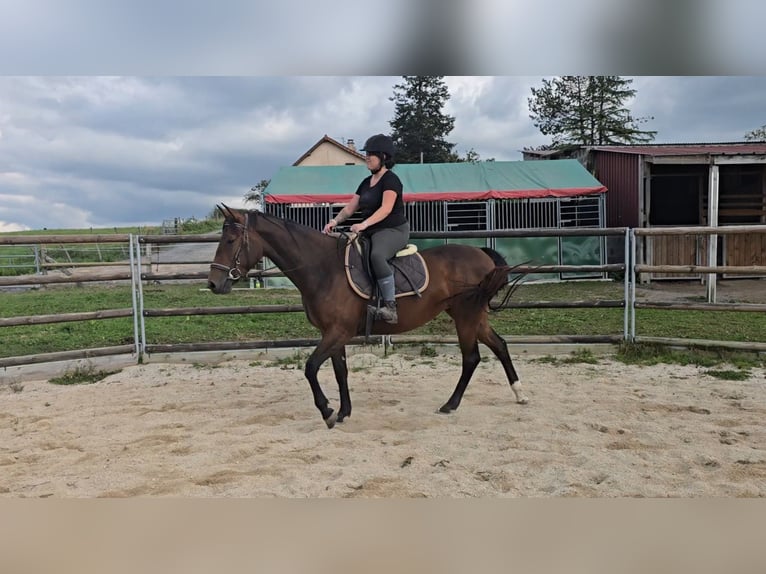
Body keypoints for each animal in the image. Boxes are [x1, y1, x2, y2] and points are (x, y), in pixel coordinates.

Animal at [207, 205, 532, 430]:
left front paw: (327, 412)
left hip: (466, 316)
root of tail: (482, 254)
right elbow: (340, 371)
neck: (324, 269)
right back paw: (519, 394)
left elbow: (310, 368)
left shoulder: (337, 332)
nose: (213, 284)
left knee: (471, 358)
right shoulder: (332, 333)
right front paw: (343, 412)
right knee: (499, 345)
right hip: (474, 317)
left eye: (231, 240)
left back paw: (450, 404)